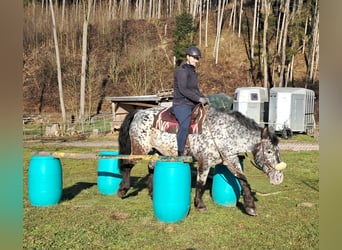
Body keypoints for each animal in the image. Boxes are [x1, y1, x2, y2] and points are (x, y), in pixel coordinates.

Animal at [117, 104, 286, 216]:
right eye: (269, 151)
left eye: (278, 151)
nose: (279, 178)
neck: (223, 131)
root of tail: (139, 112)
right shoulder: (205, 161)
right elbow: (201, 183)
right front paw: (199, 205)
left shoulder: (230, 159)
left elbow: (242, 179)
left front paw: (250, 207)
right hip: (140, 149)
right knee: (126, 165)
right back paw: (122, 190)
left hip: (157, 151)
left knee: (151, 167)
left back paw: (152, 193)